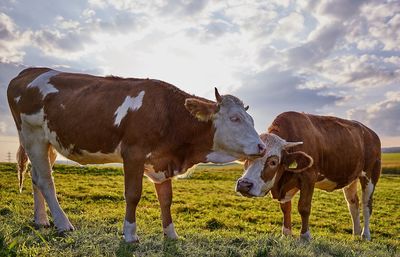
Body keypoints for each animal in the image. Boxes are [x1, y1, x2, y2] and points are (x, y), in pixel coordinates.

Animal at [7, 67, 266, 241]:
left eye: (251, 119)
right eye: (234, 118)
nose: (262, 147)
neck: (168, 114)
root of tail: (30, 71)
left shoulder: (162, 161)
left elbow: (166, 199)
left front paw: (170, 234)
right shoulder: (133, 153)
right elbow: (133, 194)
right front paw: (130, 234)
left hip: (48, 142)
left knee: (36, 177)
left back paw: (41, 220)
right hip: (32, 135)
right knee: (45, 180)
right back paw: (63, 223)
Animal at [238, 110, 382, 240]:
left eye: (273, 162)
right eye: (247, 158)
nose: (243, 185)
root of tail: (371, 133)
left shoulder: (309, 177)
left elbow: (304, 207)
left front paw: (305, 236)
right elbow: (285, 208)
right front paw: (286, 233)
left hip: (371, 174)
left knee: (367, 205)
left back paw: (365, 235)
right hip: (351, 178)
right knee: (353, 204)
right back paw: (356, 233)